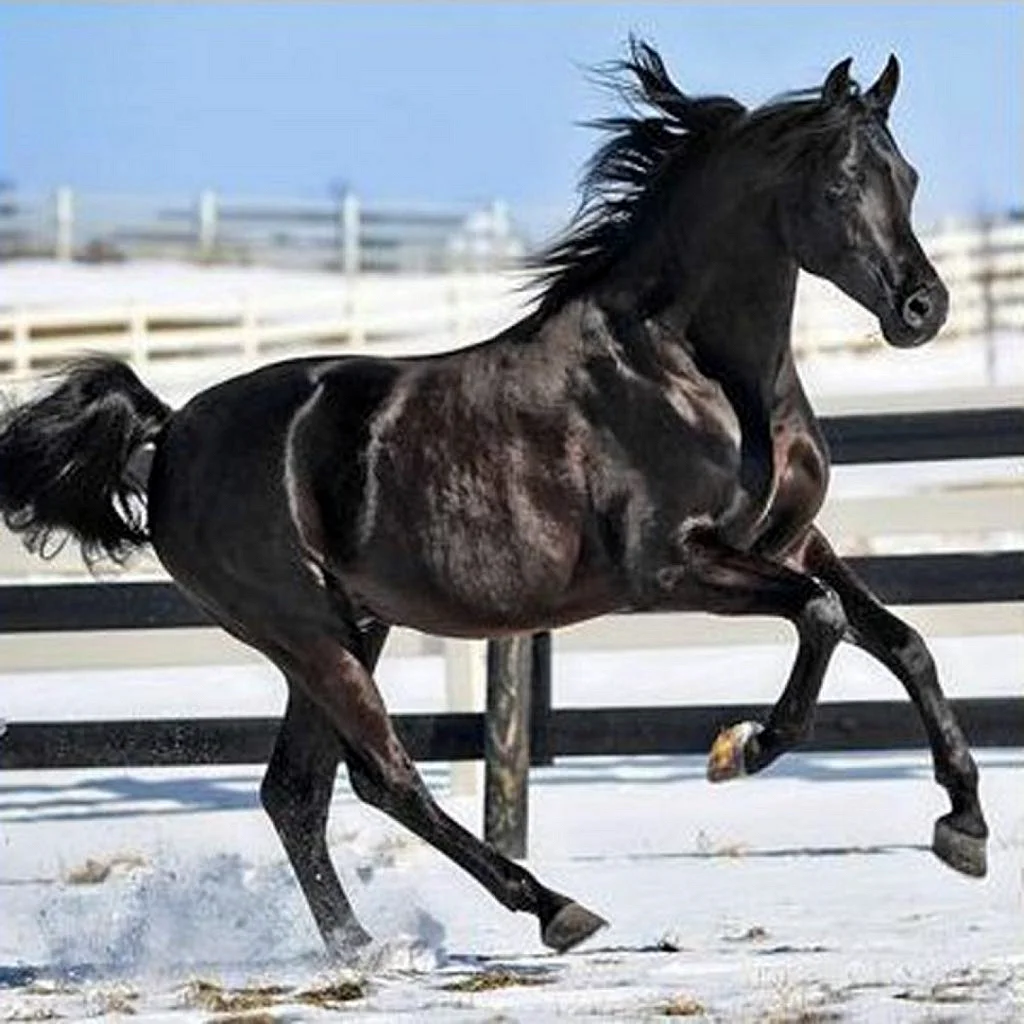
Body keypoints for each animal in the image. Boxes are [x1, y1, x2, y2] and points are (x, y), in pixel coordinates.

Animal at [2, 39, 991, 950]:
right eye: (839, 186)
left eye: (907, 176)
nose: (923, 309)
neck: (697, 374)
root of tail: (169, 436)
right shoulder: (673, 569)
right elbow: (821, 616)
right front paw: (739, 749)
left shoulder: (788, 541)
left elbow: (900, 640)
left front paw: (964, 830)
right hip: (303, 631)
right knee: (384, 777)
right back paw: (556, 911)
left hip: (347, 627)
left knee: (298, 790)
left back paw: (361, 948)